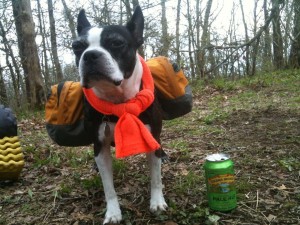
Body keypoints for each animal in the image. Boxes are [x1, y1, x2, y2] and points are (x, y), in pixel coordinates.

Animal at [72, 6, 168, 224]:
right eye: (77, 46)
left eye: (116, 43)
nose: (90, 55)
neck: (119, 101)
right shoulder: (100, 146)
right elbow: (108, 187)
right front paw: (113, 212)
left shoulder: (153, 138)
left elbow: (156, 177)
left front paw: (157, 202)